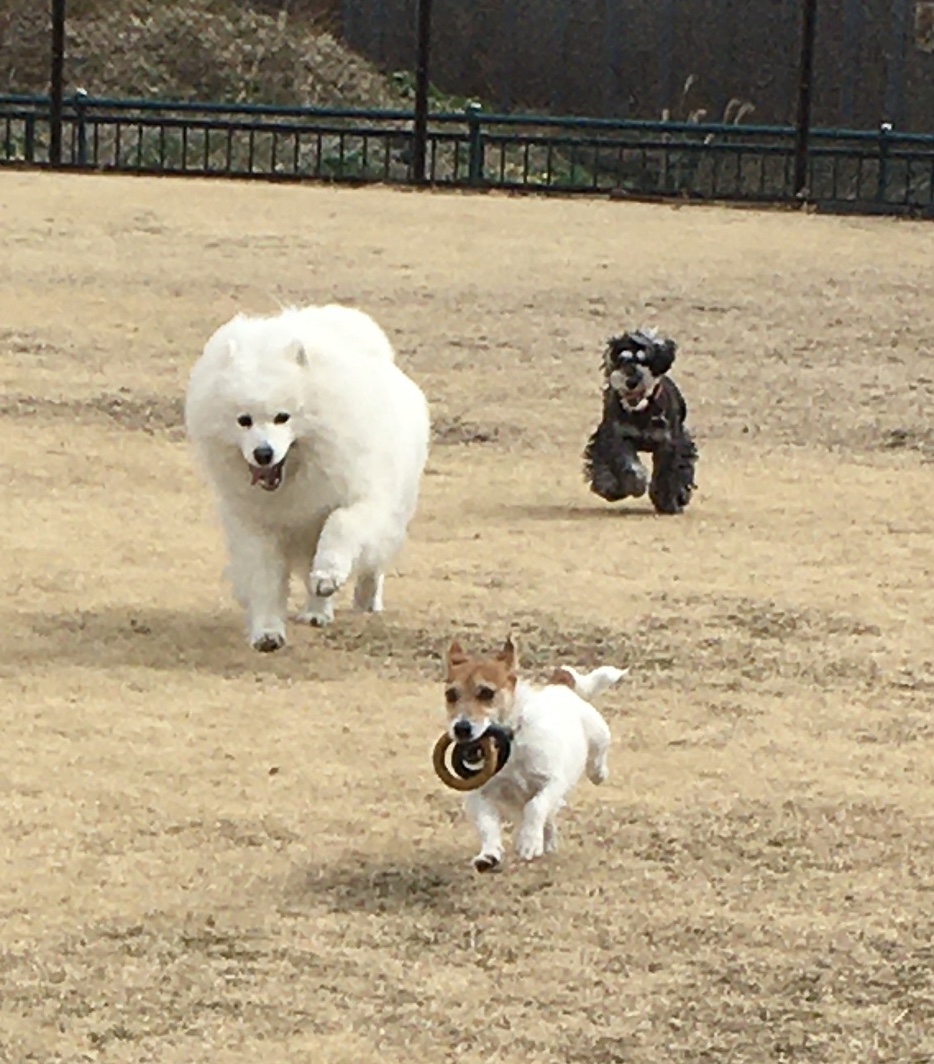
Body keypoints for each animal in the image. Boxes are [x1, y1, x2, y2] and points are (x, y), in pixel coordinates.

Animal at [184, 303, 430, 652]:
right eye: (243, 420)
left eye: (282, 417)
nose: (263, 453)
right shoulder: (256, 526)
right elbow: (266, 581)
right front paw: (267, 632)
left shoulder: (360, 501)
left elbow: (340, 527)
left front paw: (329, 573)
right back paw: (317, 611)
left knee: (373, 561)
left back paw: (364, 599)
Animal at [442, 636, 625, 872]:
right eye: (450, 695)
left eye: (486, 693)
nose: (460, 728)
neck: (510, 746)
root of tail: (558, 684)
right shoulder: (479, 795)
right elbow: (487, 825)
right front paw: (489, 854)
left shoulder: (552, 783)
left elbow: (536, 806)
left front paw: (528, 842)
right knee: (548, 820)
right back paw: (546, 840)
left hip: (598, 732)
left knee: (598, 754)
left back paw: (598, 772)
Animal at [582, 328, 697, 514]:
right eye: (622, 360)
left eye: (647, 362)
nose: (632, 381)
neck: (641, 411)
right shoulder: (616, 436)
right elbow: (626, 465)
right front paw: (634, 485)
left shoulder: (670, 443)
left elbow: (669, 472)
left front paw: (668, 501)